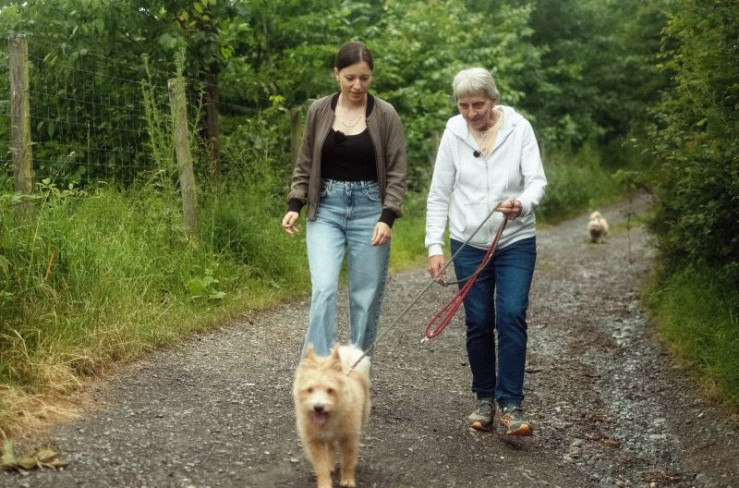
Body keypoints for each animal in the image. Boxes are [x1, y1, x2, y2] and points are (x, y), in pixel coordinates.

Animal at [293, 344, 371, 488]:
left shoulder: (349, 438)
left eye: (330, 390)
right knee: (331, 447)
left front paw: (347, 480)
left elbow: (348, 460)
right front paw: (325, 483)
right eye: (310, 389)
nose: (318, 407)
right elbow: (321, 467)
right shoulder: (314, 442)